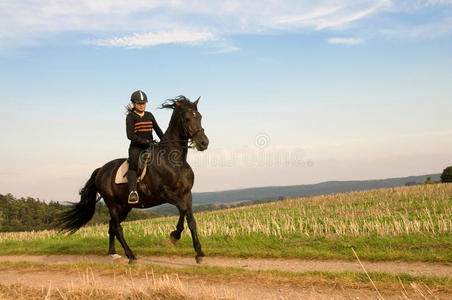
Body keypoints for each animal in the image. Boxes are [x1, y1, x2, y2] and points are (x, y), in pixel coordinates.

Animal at [57, 96, 210, 262]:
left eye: (200, 117)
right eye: (187, 119)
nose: (204, 143)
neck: (174, 161)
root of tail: (101, 170)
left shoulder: (186, 194)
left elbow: (190, 219)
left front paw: (199, 253)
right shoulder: (163, 193)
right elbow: (183, 209)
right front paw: (175, 236)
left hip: (124, 206)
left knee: (112, 226)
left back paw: (113, 252)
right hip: (112, 204)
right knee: (117, 227)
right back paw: (130, 255)